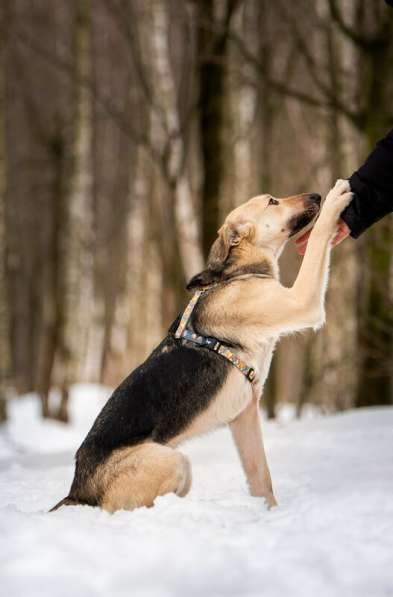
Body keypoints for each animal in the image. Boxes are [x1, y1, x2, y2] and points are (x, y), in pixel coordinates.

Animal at [50, 179, 350, 510]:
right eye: (272, 201)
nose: (316, 195)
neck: (238, 274)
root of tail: (77, 491)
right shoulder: (302, 301)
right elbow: (319, 239)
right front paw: (336, 200)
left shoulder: (245, 415)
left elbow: (262, 477)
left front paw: (269, 513)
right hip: (175, 462)